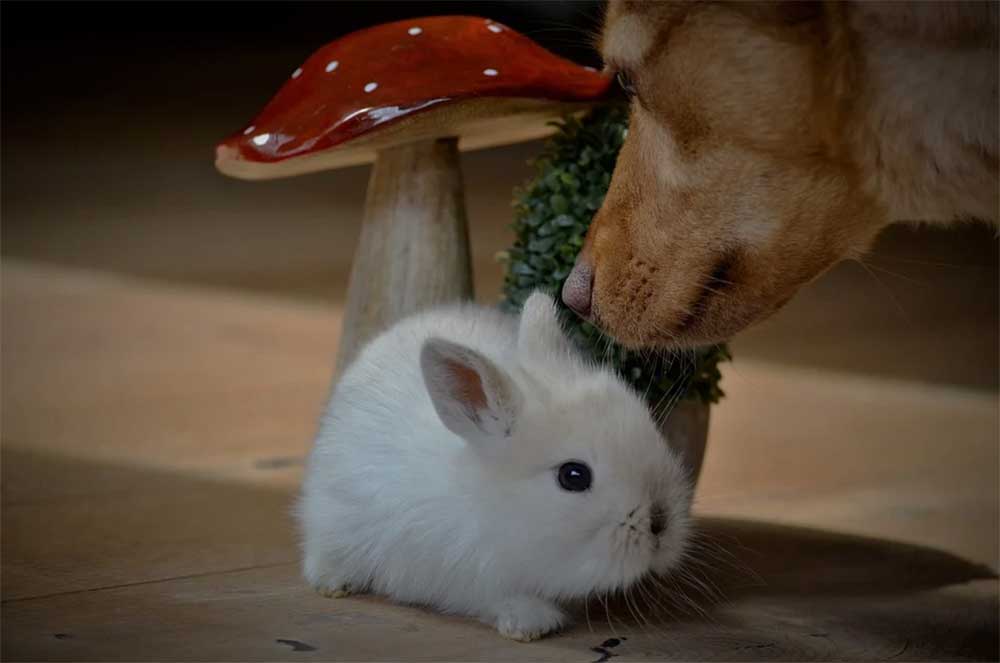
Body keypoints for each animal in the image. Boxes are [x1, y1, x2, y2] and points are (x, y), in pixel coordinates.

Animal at [292, 292, 692, 644]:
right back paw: (334, 582)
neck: (492, 504)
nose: (660, 524)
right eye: (573, 476)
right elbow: (499, 598)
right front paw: (531, 623)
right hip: (333, 516)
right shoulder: (464, 576)